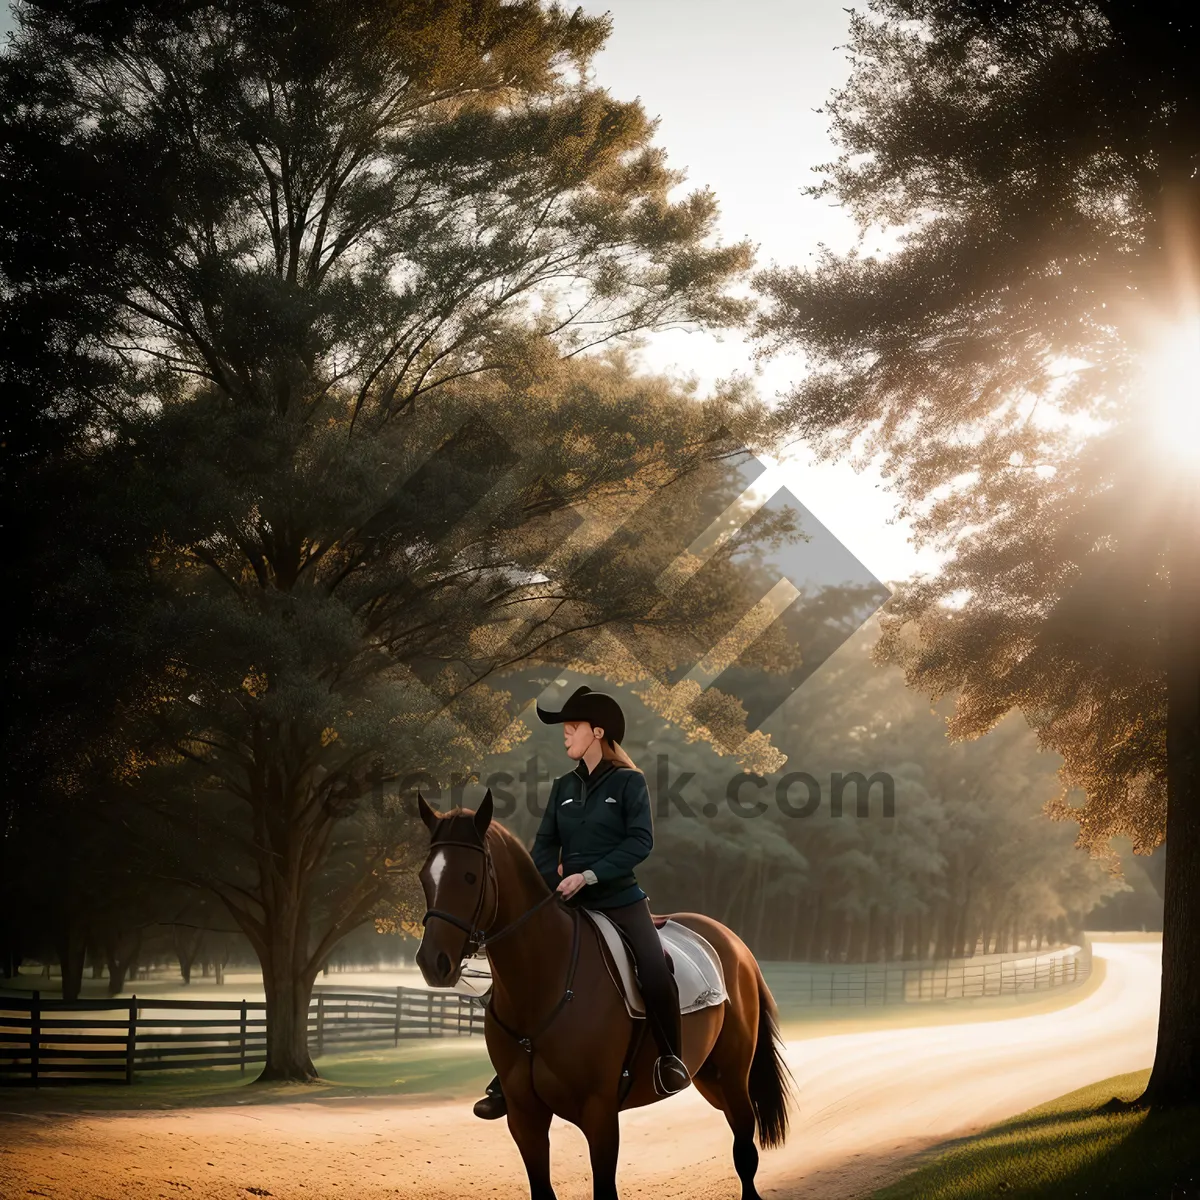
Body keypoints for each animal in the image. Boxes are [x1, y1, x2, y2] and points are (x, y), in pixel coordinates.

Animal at [412, 787, 796, 1200]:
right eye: (424, 877)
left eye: (470, 877)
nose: (432, 962)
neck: (543, 985)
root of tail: (734, 945)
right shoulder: (524, 1117)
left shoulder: (599, 1114)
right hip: (709, 1077)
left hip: (733, 1077)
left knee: (745, 1153)